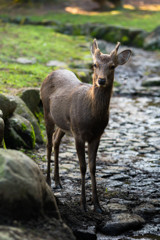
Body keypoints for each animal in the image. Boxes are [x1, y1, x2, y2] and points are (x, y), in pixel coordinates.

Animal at [40, 39, 131, 214]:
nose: (101, 80)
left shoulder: (97, 135)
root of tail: (49, 74)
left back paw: (58, 181)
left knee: (56, 141)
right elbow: (82, 167)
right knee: (48, 143)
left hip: (64, 124)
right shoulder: (79, 134)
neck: (92, 118)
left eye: (112, 66)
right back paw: (48, 180)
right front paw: (83, 204)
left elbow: (93, 167)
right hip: (47, 112)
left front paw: (97, 205)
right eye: (94, 64)